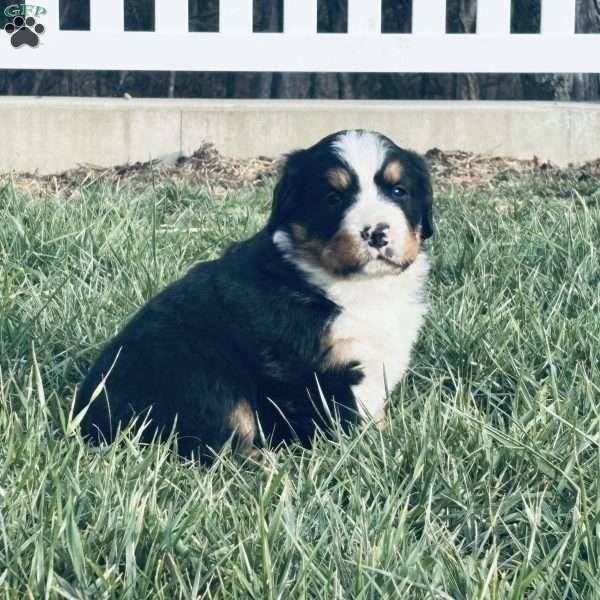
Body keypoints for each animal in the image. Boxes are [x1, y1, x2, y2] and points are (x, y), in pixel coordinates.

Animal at [76, 129, 432, 462]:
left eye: (398, 191)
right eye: (333, 198)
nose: (377, 233)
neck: (359, 286)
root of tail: (88, 422)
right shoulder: (308, 374)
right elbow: (334, 424)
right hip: (198, 375)